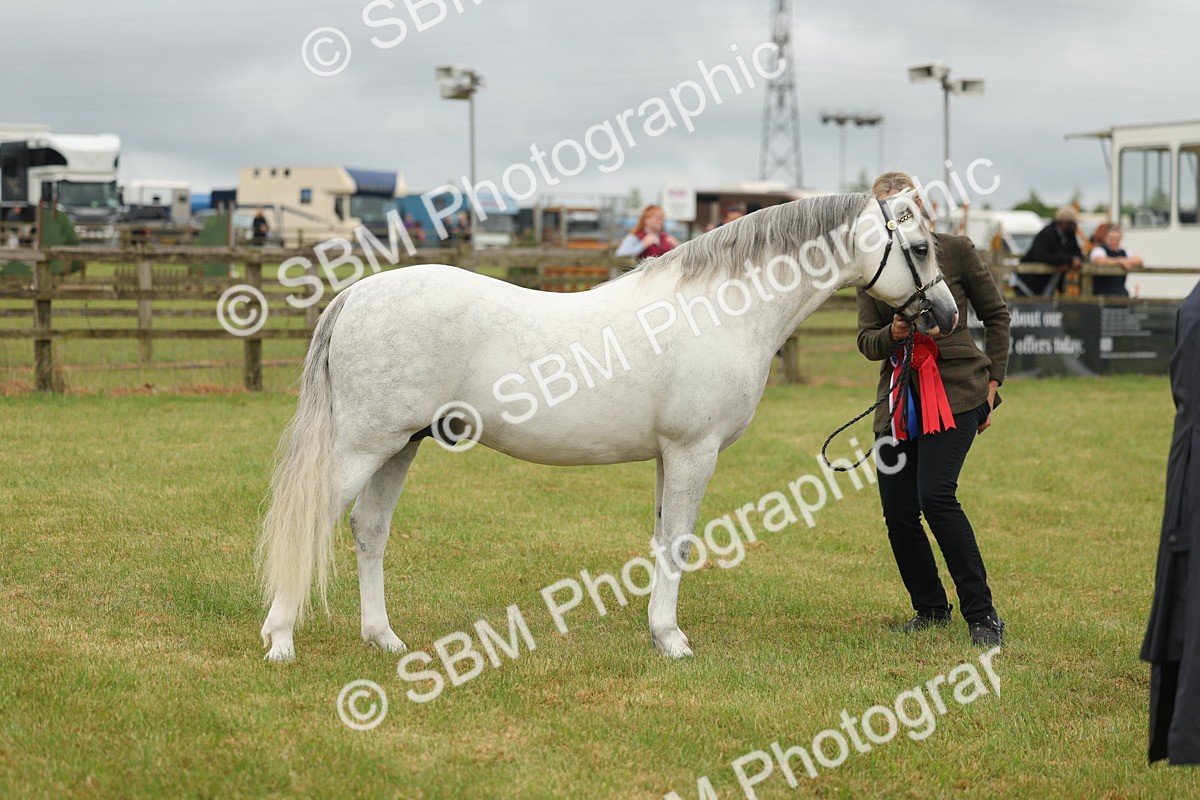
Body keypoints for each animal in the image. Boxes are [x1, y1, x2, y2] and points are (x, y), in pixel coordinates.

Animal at [257, 191, 958, 662]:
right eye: (921, 247)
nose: (948, 316)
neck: (720, 310)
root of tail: (358, 295)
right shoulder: (693, 452)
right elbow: (679, 543)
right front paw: (672, 640)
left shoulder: (666, 457)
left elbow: (661, 539)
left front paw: (657, 629)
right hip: (364, 445)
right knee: (315, 519)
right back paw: (281, 640)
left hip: (400, 446)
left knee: (369, 530)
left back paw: (383, 638)